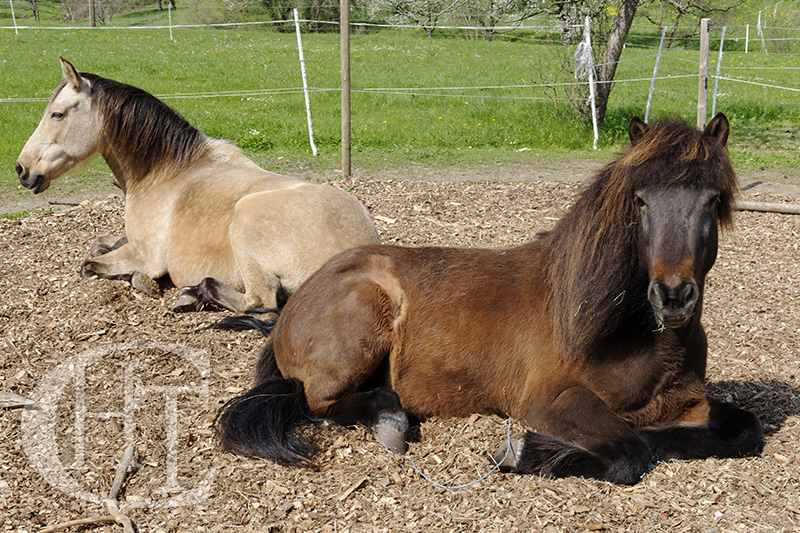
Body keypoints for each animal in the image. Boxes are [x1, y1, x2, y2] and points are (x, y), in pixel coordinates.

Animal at [15, 57, 380, 312]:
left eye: (57, 114)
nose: (22, 168)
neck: (164, 171)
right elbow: (100, 244)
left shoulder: (144, 254)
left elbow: (90, 264)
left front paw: (144, 282)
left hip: (247, 221)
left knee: (259, 303)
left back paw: (192, 294)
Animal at [215, 113, 764, 485]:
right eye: (640, 200)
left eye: (712, 200)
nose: (672, 296)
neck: (628, 335)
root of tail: (297, 303)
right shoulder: (551, 400)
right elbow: (630, 450)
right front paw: (528, 452)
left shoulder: (688, 403)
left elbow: (742, 428)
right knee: (319, 401)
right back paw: (390, 418)